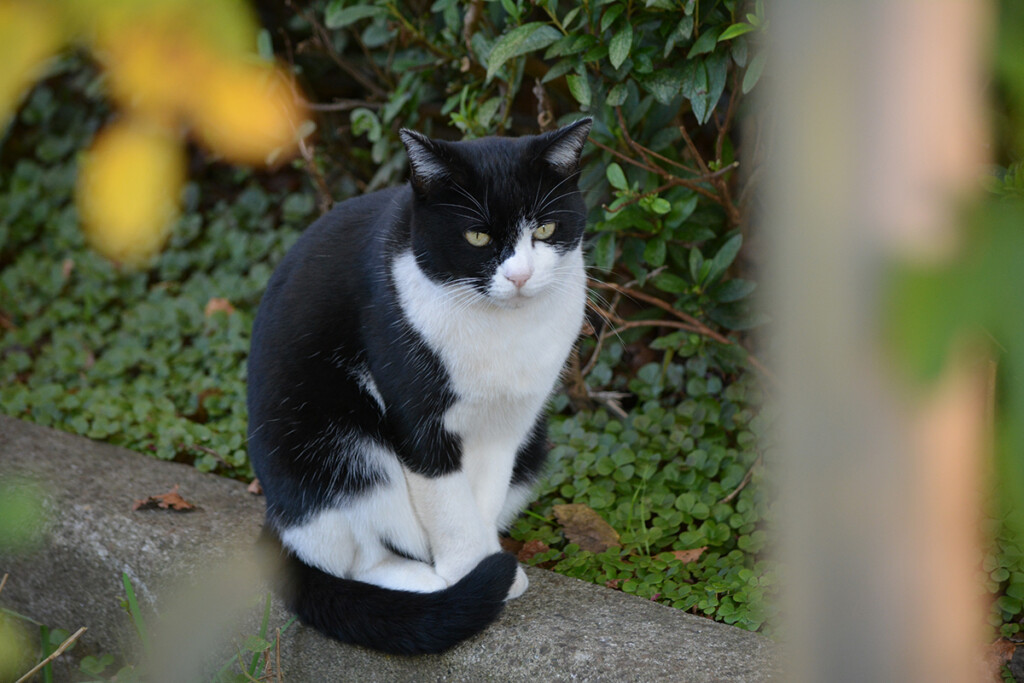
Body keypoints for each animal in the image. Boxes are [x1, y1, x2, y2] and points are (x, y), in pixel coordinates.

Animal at [247, 118, 592, 655]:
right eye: (476, 235)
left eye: (545, 229)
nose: (518, 276)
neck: (502, 329)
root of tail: (274, 519)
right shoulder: (416, 416)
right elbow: (449, 505)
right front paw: (475, 575)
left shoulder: (508, 426)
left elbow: (482, 497)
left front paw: (489, 562)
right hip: (333, 447)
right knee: (354, 553)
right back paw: (425, 584)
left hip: (534, 447)